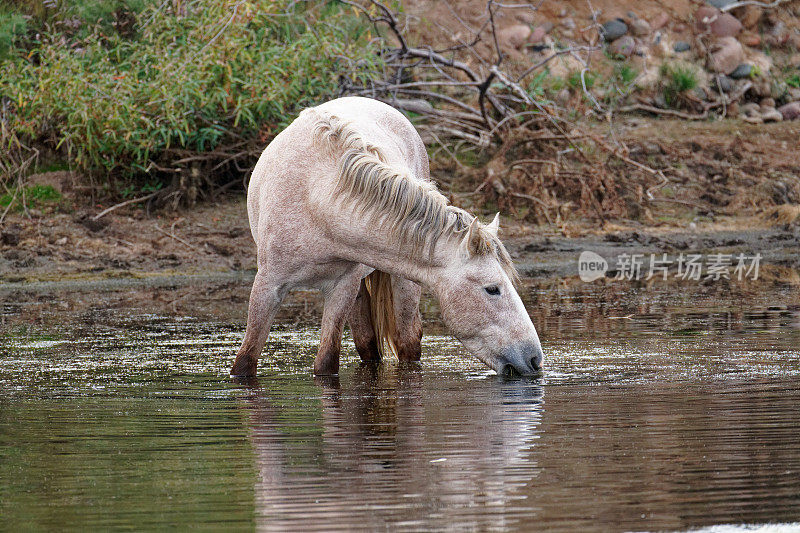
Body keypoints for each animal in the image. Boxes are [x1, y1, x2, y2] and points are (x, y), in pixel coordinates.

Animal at [231, 96, 544, 378]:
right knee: (368, 345)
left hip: (399, 285)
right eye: (492, 289)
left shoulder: (342, 288)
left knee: (405, 342)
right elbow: (245, 362)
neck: (316, 197)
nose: (535, 359)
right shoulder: (268, 286)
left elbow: (326, 364)